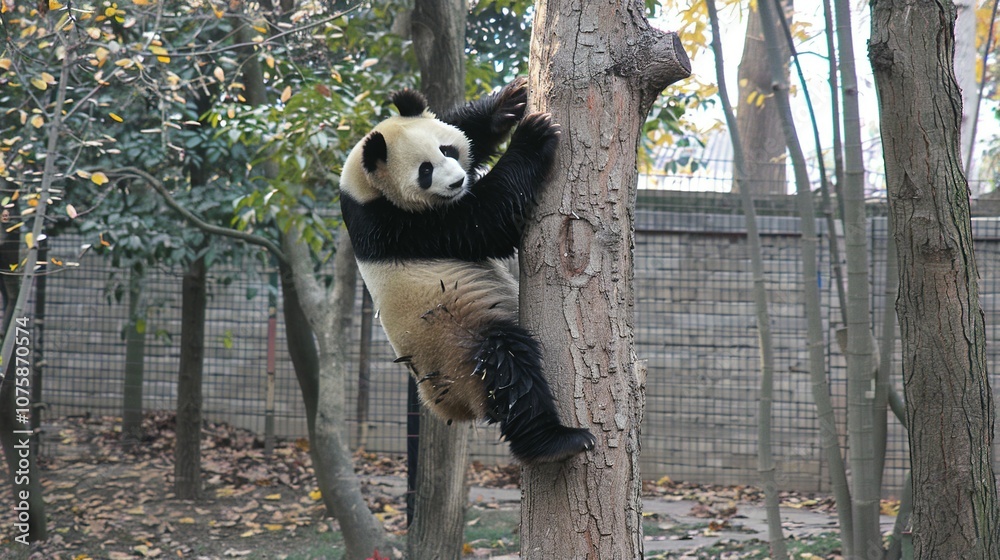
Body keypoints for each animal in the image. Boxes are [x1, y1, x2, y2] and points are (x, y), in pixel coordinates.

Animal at [339, 79, 597, 463]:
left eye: (448, 150)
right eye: (425, 170)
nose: (458, 182)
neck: (363, 189)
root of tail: (449, 407)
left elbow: (467, 130)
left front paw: (508, 101)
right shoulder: (401, 227)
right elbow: (486, 221)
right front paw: (532, 135)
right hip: (457, 344)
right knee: (505, 366)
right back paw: (553, 442)